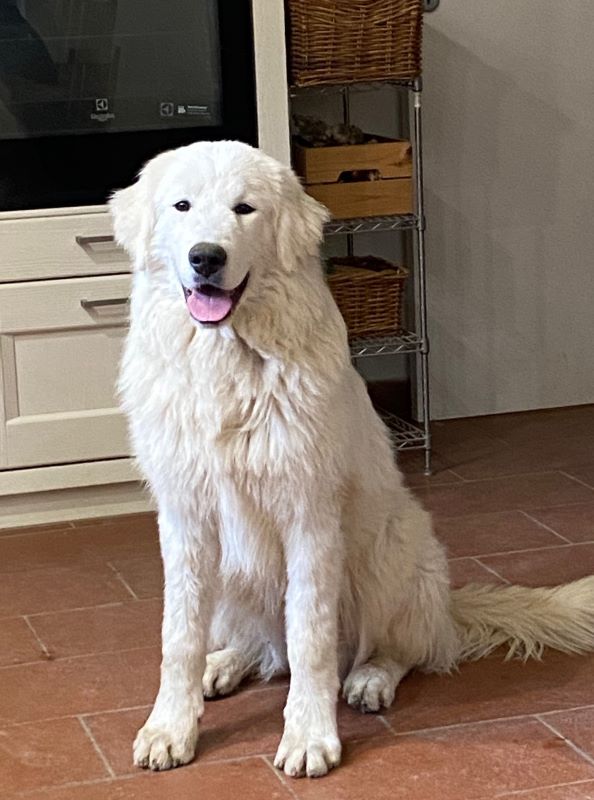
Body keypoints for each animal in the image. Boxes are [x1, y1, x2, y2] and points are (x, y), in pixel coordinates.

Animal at [110, 140, 594, 779]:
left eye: (245, 209)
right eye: (182, 206)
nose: (206, 258)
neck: (229, 362)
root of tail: (448, 607)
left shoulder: (310, 518)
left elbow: (311, 641)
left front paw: (309, 736)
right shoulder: (186, 521)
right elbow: (179, 638)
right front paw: (170, 727)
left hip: (389, 552)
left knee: (397, 649)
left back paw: (369, 680)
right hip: (235, 575)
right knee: (264, 648)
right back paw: (226, 663)